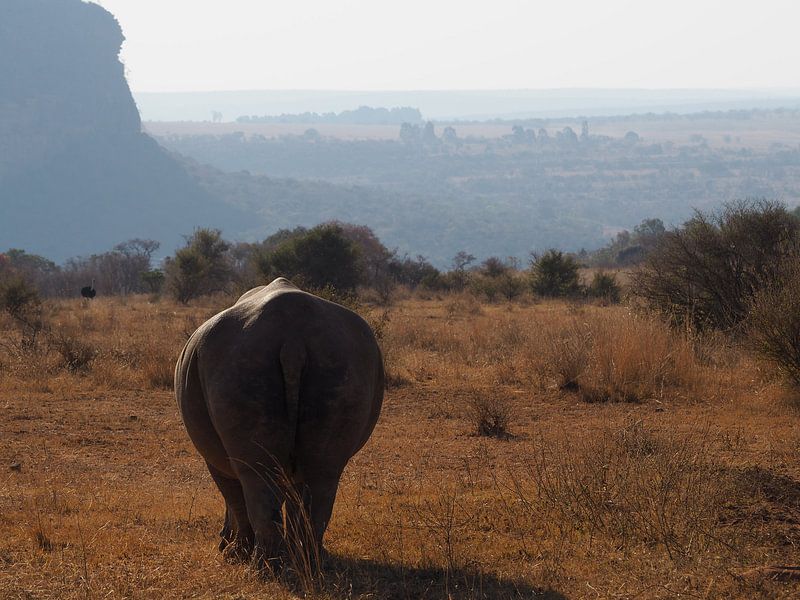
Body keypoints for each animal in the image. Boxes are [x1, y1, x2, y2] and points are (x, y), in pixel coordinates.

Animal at [174, 276, 384, 568]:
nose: (221, 540)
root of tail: (293, 339)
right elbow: (290, 494)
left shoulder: (213, 458)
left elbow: (232, 496)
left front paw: (233, 553)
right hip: (340, 361)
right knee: (323, 471)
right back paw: (309, 562)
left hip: (241, 364)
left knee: (256, 476)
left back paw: (263, 567)